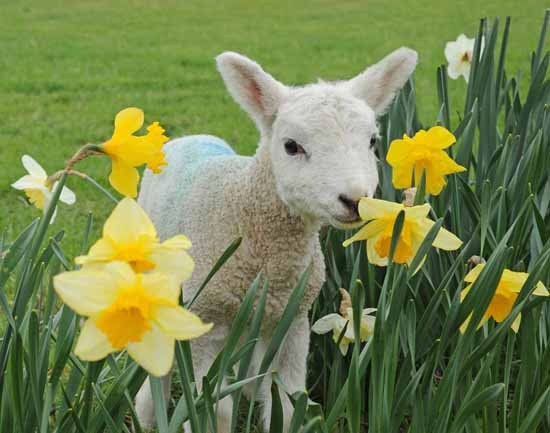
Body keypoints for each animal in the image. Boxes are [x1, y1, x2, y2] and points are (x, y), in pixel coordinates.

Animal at [135, 48, 418, 432]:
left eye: (373, 141)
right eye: (291, 146)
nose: (355, 200)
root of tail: (190, 136)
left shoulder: (293, 320)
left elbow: (287, 401)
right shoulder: (206, 320)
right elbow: (214, 410)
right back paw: (149, 411)